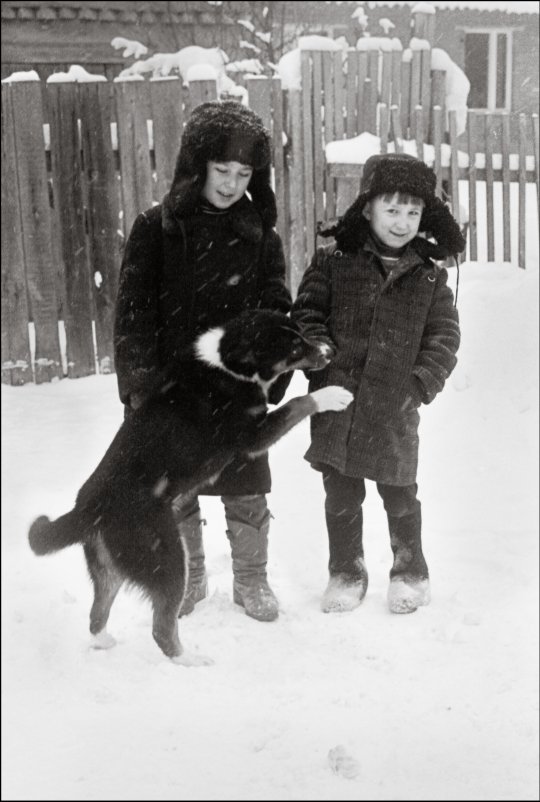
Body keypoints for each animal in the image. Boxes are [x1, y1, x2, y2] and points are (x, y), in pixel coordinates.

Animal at [28, 310, 354, 664]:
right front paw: (333, 395)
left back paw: (104, 641)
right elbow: (298, 402)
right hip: (167, 558)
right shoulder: (252, 436)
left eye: (300, 333)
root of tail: (88, 508)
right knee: (161, 627)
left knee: (96, 613)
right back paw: (190, 660)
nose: (330, 351)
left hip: (110, 568)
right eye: (294, 347)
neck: (229, 363)